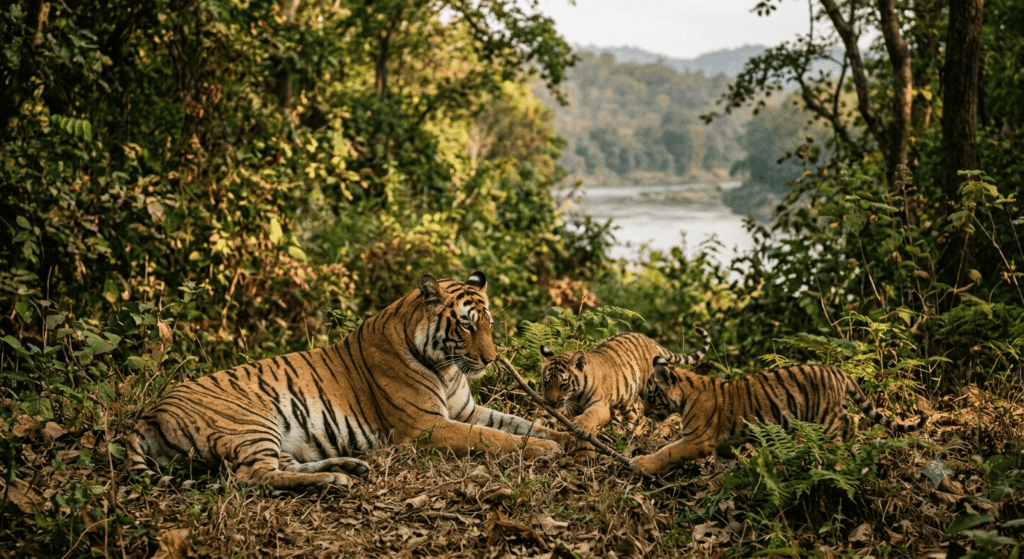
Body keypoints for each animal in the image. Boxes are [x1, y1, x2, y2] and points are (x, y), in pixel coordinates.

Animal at [126, 272, 567, 489]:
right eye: (466, 325)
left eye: (488, 324)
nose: (491, 359)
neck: (447, 368)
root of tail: (150, 413)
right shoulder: (426, 426)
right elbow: (494, 437)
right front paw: (545, 450)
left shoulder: (465, 410)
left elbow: (521, 423)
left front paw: (565, 435)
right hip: (251, 423)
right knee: (250, 477)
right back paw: (335, 480)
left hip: (272, 436)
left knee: (280, 465)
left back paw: (347, 467)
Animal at [539, 327, 711, 435]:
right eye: (546, 382)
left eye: (563, 384)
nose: (550, 402)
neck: (575, 395)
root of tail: (651, 340)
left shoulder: (601, 406)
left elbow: (591, 414)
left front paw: (581, 426)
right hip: (626, 401)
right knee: (633, 414)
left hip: (648, 389)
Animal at [630, 356, 929, 475]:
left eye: (650, 396)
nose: (643, 414)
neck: (685, 394)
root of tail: (836, 370)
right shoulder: (724, 446)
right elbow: (725, 467)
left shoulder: (697, 440)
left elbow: (667, 451)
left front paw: (641, 463)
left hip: (825, 416)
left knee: (850, 420)